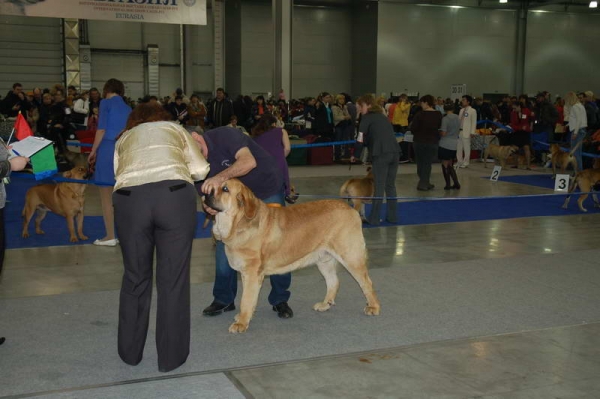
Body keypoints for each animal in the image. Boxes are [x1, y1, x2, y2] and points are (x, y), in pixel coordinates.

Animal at [204, 180, 378, 332]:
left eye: (225, 189)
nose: (205, 194)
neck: (238, 222)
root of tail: (351, 210)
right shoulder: (247, 274)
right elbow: (248, 299)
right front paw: (244, 317)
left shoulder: (252, 273)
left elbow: (246, 299)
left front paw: (241, 323)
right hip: (324, 259)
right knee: (333, 282)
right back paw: (324, 305)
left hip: (351, 256)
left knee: (367, 282)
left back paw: (373, 307)